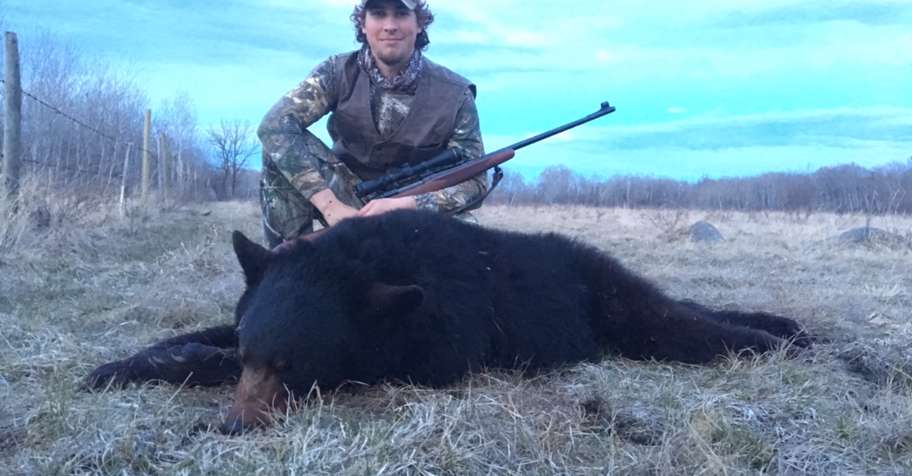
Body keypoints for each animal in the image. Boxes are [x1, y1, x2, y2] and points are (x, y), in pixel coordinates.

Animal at [87, 209, 810, 433]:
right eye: (251, 353)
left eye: (292, 364)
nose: (234, 425)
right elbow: (202, 336)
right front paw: (116, 365)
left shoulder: (428, 345)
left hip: (610, 298)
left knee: (675, 324)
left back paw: (772, 340)